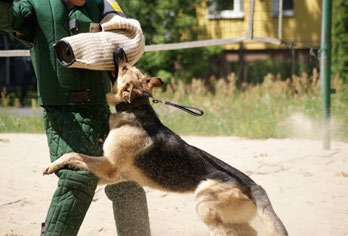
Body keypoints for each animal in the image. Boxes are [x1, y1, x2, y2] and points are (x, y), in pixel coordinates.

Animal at [44, 54, 288, 236]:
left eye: (124, 68)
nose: (120, 51)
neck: (135, 108)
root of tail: (253, 185)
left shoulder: (108, 166)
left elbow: (74, 154)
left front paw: (54, 164)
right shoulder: (113, 174)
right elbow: (78, 159)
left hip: (204, 204)